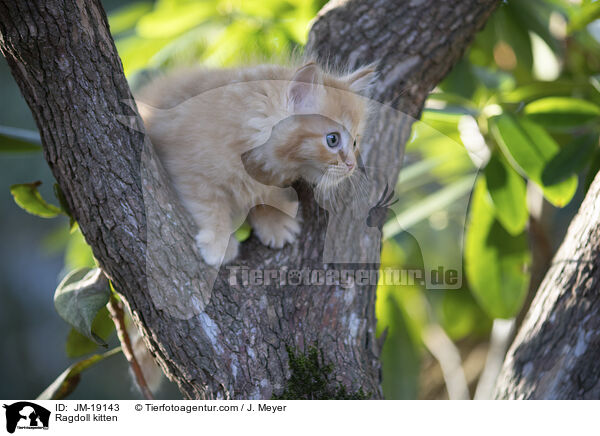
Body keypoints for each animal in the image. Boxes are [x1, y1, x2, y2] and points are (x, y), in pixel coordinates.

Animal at [136, 61, 376, 266]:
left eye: (355, 142)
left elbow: (262, 193)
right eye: (332, 139)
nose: (351, 165)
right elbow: (209, 205)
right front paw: (218, 242)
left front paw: (274, 219)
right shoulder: (187, 165)